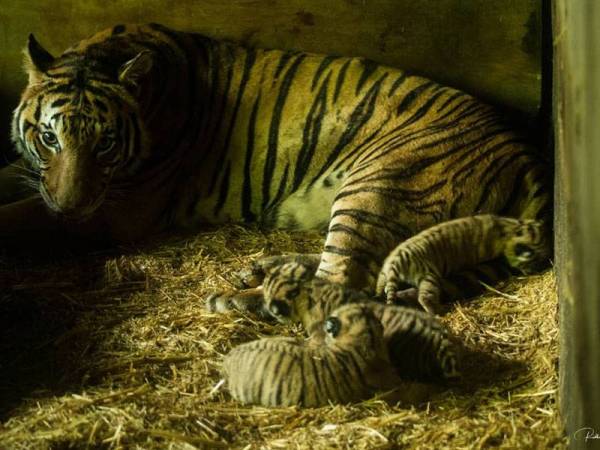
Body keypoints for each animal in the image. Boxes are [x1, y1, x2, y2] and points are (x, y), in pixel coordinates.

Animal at [2, 22, 552, 300]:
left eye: (106, 144)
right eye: (48, 137)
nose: (71, 207)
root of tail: (523, 152)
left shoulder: (117, 211)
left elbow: (19, 217)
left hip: (377, 186)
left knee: (344, 282)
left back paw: (248, 299)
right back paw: (265, 270)